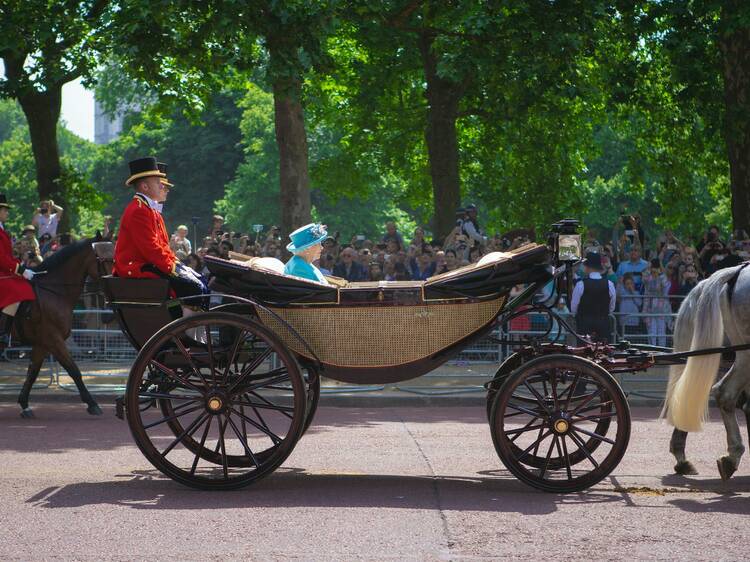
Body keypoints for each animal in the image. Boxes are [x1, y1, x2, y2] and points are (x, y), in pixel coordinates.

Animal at [14, 232, 113, 416]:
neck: (54, 291)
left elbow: (33, 372)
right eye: (102, 259)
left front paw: (24, 404)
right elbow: (73, 369)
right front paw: (92, 403)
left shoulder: (42, 343)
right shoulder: (54, 340)